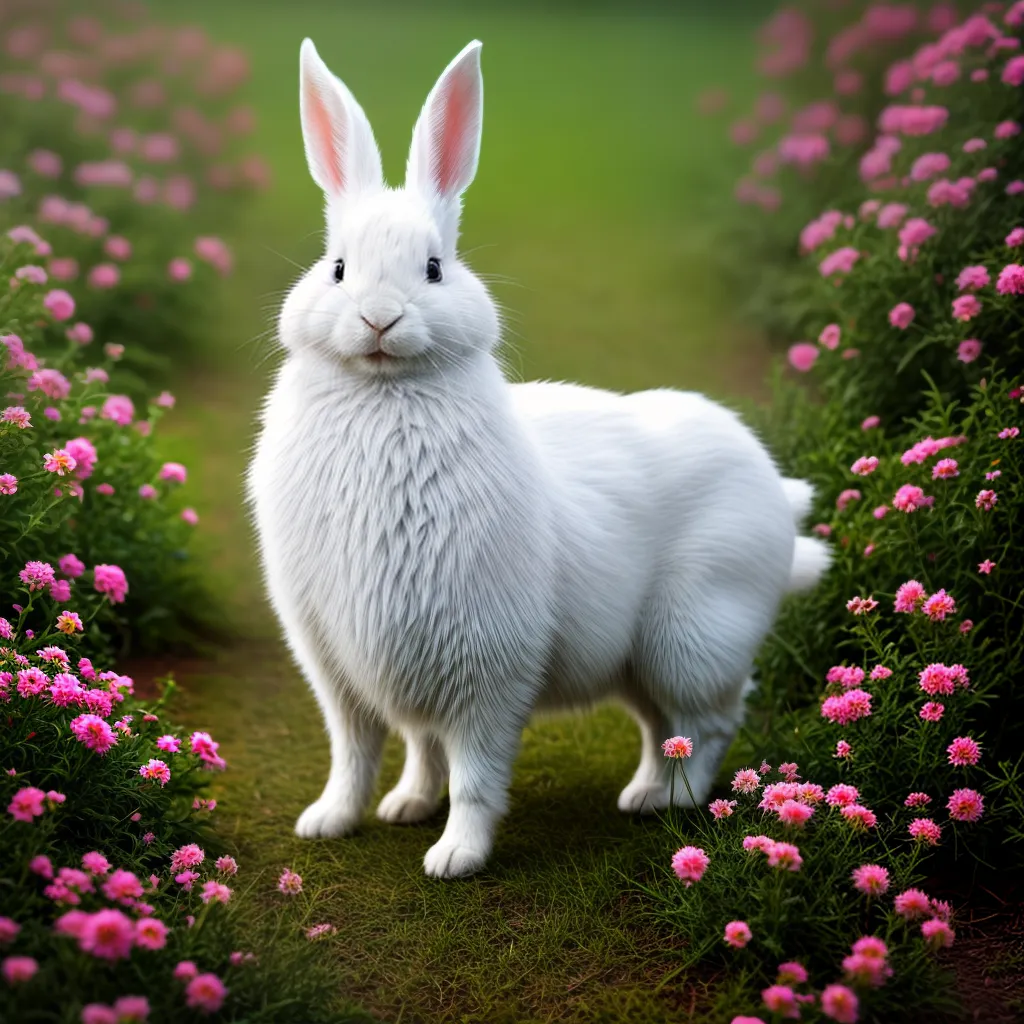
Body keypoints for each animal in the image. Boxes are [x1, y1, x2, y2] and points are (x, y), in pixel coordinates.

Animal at [247, 37, 831, 880]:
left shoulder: (484, 673)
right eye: (336, 267)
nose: (379, 318)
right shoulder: (351, 672)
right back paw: (640, 793)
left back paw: (670, 801)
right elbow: (372, 754)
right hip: (636, 663)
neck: (385, 392)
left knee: (710, 721)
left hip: (692, 638)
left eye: (434, 267)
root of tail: (777, 496)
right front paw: (351, 818)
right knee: (662, 726)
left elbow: (472, 774)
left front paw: (454, 857)